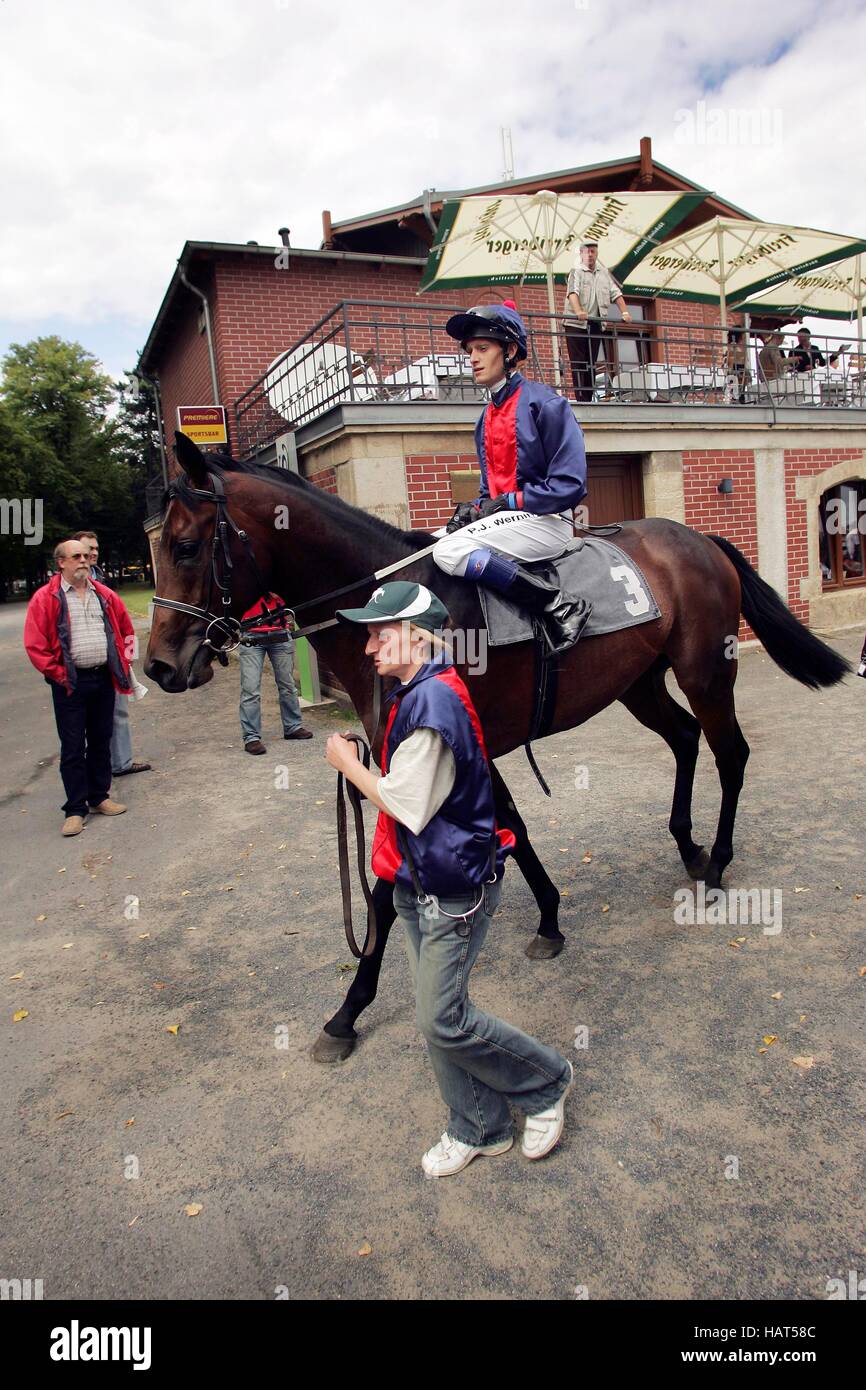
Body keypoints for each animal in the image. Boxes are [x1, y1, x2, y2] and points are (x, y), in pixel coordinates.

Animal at [145, 433, 850, 1061]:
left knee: (731, 754)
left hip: (706, 672)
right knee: (684, 740)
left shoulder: (423, 759)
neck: (396, 609)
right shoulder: (462, 749)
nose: (158, 667)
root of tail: (700, 539)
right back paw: (689, 843)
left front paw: (347, 1012)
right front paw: (550, 919)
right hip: (638, 684)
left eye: (185, 545)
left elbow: (388, 888)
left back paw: (717, 862)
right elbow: (513, 826)